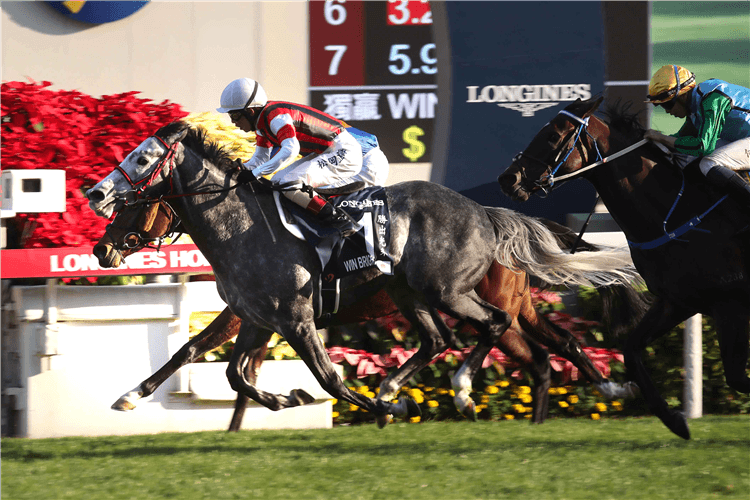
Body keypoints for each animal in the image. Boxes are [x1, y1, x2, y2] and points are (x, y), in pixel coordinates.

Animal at [86, 120, 640, 426]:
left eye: (143, 158)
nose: (101, 244)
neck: (241, 228)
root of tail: (485, 212)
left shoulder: (295, 319)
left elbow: (328, 378)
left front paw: (373, 408)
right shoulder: (256, 318)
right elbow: (218, 365)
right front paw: (130, 397)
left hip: (454, 292)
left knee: (497, 330)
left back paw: (454, 388)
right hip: (415, 294)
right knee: (455, 341)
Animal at [500, 95, 750, 440]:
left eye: (552, 135)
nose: (507, 178)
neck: (678, 213)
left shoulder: (731, 304)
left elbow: (738, 378)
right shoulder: (677, 301)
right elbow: (631, 351)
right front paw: (675, 420)